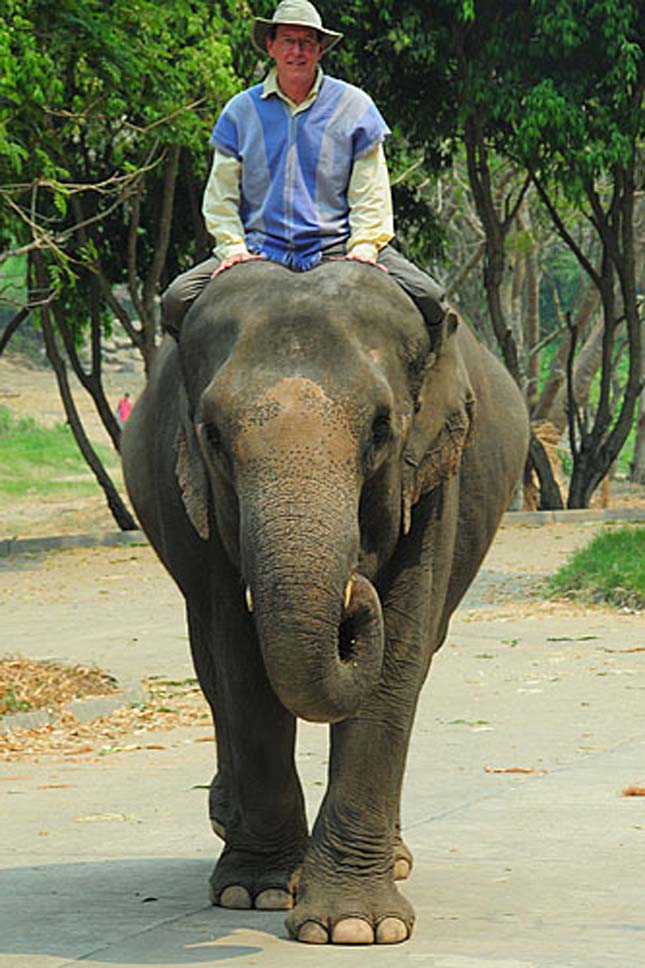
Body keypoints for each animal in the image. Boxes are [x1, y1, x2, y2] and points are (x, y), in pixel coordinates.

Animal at [121, 258, 528, 944]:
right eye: (213, 436)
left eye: (382, 429)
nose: (354, 586)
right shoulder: (191, 495)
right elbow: (236, 649)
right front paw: (255, 892)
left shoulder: (434, 477)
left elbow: (401, 647)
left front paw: (356, 928)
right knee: (208, 662)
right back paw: (230, 828)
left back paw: (394, 858)